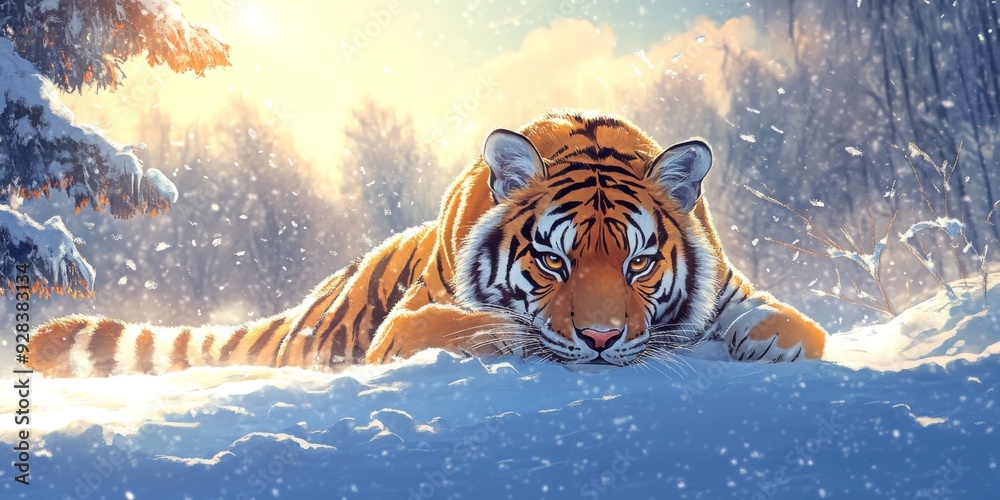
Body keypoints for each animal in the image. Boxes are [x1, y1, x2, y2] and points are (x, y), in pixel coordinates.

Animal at [27, 111, 827, 377]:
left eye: (638, 261)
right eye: (554, 260)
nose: (601, 340)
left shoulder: (733, 287)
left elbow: (804, 327)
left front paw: (767, 340)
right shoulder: (409, 322)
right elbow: (481, 326)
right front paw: (518, 338)